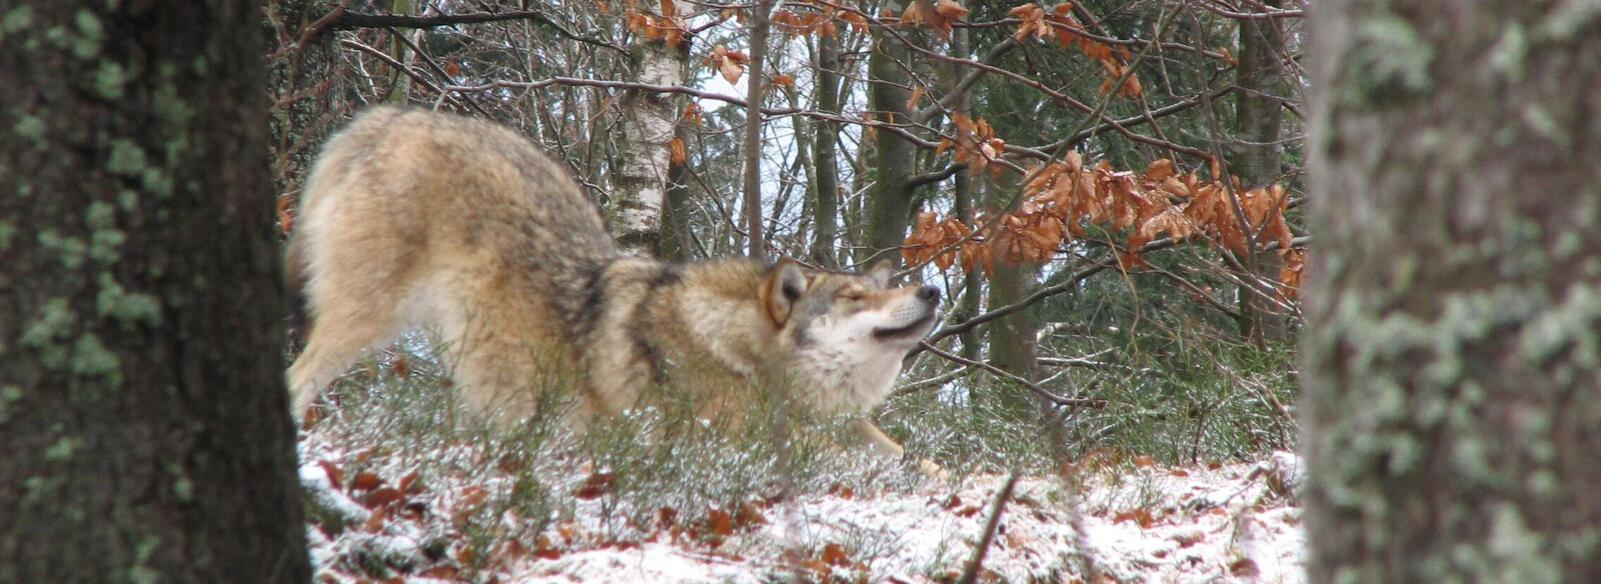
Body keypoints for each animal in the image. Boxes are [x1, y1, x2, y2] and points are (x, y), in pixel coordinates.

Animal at [286, 107, 942, 473]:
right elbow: (852, 465)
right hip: (361, 322)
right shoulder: (735, 439)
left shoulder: (861, 433)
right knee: (297, 377)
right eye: (855, 299)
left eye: (874, 290)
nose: (934, 289)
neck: (741, 355)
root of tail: (392, 117)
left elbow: (918, 461)